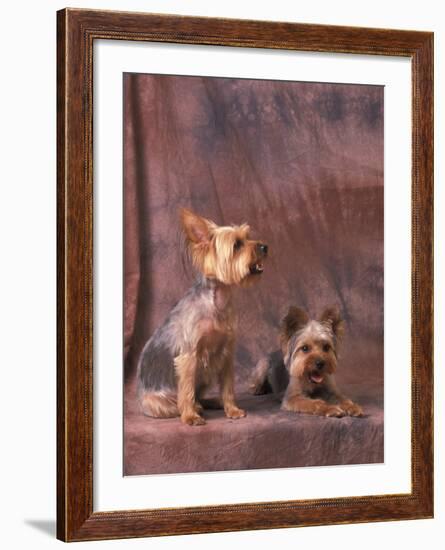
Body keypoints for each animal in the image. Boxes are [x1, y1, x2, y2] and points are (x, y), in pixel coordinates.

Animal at [135, 208, 268, 426]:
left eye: (248, 237)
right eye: (237, 245)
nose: (265, 246)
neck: (217, 301)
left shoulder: (226, 353)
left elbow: (228, 386)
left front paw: (232, 409)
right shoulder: (189, 356)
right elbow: (187, 389)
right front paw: (190, 416)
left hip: (206, 375)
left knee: (201, 396)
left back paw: (213, 402)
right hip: (156, 402)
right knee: (179, 401)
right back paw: (193, 408)